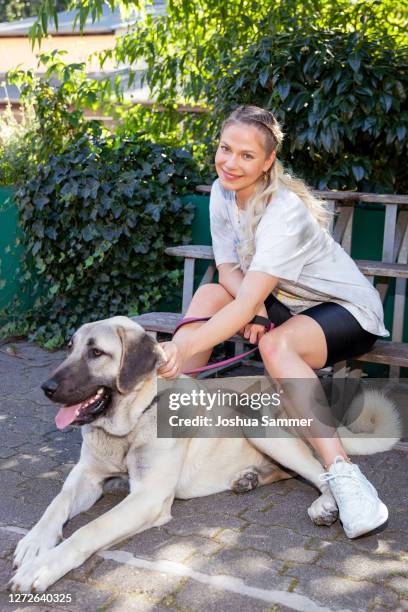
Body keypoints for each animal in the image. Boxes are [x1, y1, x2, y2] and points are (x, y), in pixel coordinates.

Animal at [8, 316, 398, 592]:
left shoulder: (147, 497)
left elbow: (90, 530)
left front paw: (44, 567)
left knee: (320, 468)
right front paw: (34, 542)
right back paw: (249, 478)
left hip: (258, 424)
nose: (46, 387)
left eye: (96, 353)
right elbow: (56, 505)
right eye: (70, 348)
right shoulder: (86, 476)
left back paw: (326, 504)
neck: (133, 420)